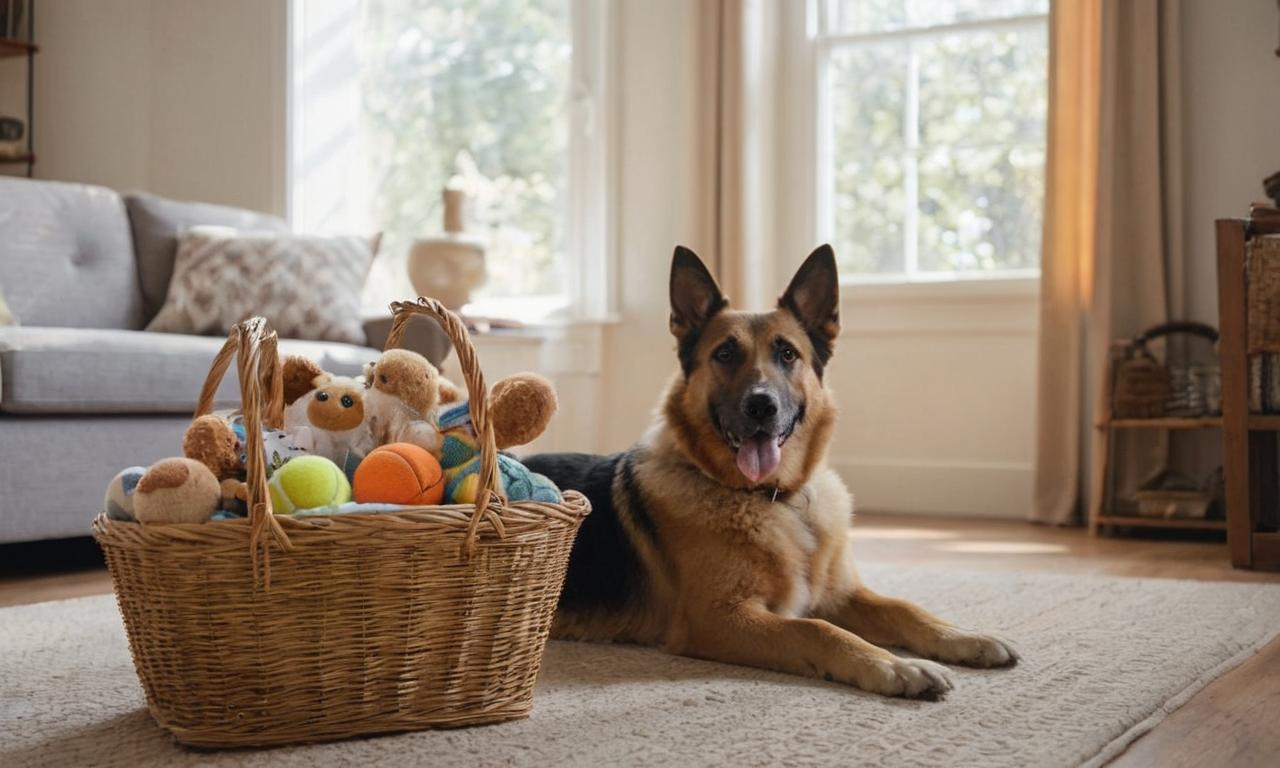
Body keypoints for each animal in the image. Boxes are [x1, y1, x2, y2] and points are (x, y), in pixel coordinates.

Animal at [524, 244, 1013, 696]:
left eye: (787, 354)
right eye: (724, 354)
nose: (761, 405)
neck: (776, 498)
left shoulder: (840, 595)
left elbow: (905, 607)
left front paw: (963, 637)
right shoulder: (719, 618)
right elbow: (817, 630)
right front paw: (893, 665)